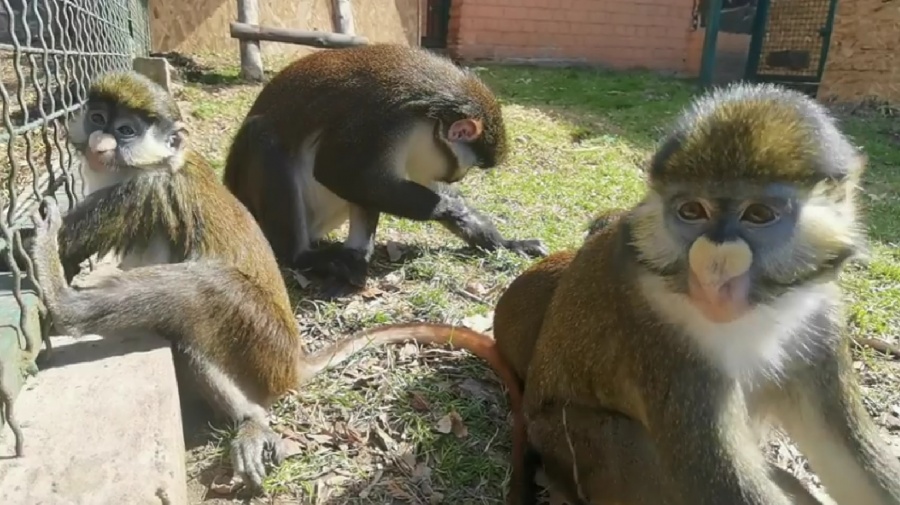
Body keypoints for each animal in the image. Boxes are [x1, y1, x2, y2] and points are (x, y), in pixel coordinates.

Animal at [31, 71, 524, 492]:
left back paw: (65, 303)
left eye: (126, 130)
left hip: (258, 336)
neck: (156, 162)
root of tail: (292, 361)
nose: (100, 142)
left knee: (201, 290)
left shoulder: (139, 190)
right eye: (97, 119)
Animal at [222, 44, 552, 296]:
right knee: (263, 138)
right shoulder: (376, 118)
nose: (458, 177)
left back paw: (354, 258)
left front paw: (507, 243)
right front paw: (447, 207)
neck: (428, 114)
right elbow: (333, 171)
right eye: (467, 166)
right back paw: (305, 257)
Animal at [486, 81, 900, 500]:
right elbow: (719, 484)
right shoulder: (662, 336)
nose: (713, 263)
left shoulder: (821, 321)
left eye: (759, 214)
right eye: (692, 210)